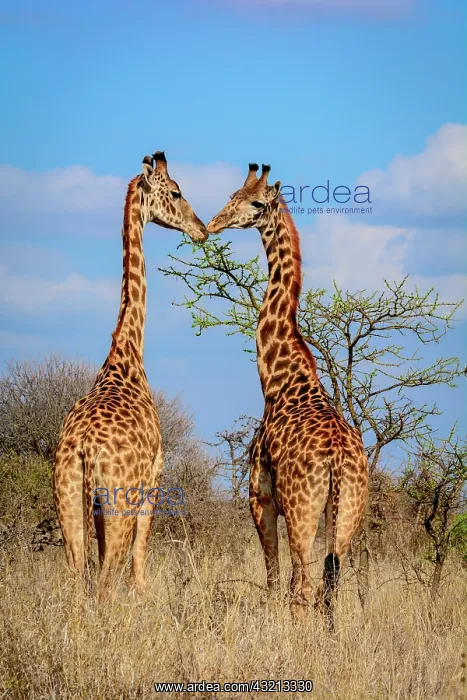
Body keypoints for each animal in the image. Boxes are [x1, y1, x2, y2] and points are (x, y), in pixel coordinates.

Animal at [54, 151, 207, 593]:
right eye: (176, 191)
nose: (202, 229)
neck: (126, 355)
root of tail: (84, 448)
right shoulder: (155, 473)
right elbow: (140, 563)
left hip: (68, 496)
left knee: (78, 575)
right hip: (117, 498)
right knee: (107, 577)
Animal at [207, 163, 368, 625]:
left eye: (256, 203)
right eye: (232, 195)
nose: (213, 224)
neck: (277, 379)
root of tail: (338, 459)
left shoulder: (259, 497)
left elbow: (272, 581)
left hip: (301, 510)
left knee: (304, 589)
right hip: (346, 512)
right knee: (328, 589)